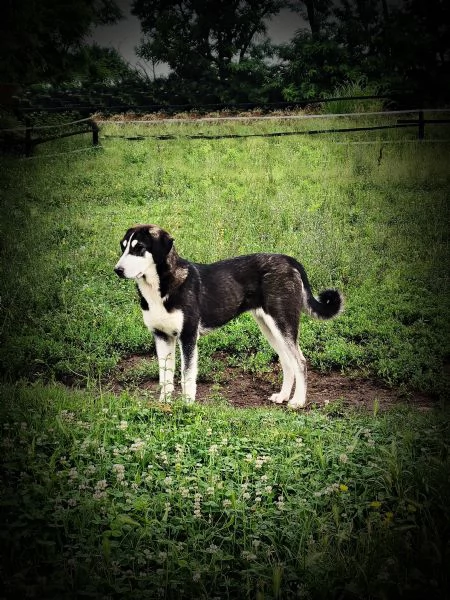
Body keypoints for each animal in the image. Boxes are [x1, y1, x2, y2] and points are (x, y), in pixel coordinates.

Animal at [114, 225, 342, 408]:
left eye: (139, 248)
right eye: (123, 247)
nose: (117, 270)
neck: (160, 288)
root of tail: (289, 260)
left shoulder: (188, 337)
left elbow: (187, 376)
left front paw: (187, 406)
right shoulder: (162, 336)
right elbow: (165, 377)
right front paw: (164, 404)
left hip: (283, 324)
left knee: (300, 362)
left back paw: (298, 401)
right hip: (269, 327)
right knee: (287, 361)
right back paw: (283, 396)